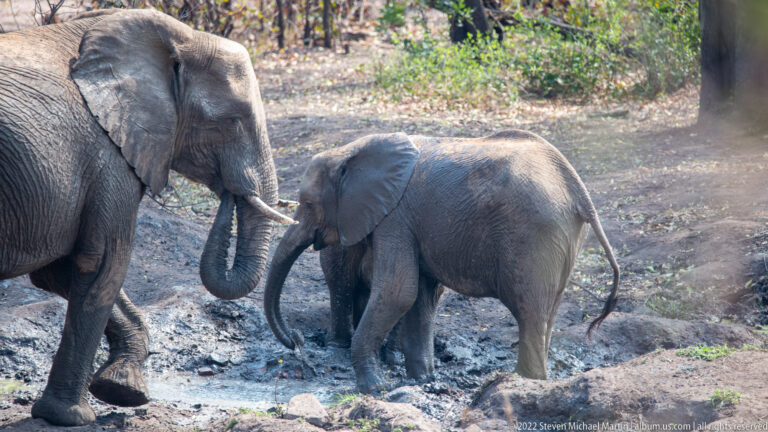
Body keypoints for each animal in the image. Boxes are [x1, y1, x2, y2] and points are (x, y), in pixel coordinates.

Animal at [0, 9, 295, 426]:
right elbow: (101, 264)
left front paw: (122, 390)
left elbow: (59, 271)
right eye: (232, 121)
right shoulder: (109, 154)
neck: (181, 37)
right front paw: (70, 417)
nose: (228, 192)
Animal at [263, 131, 620, 393]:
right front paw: (421, 380)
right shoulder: (409, 222)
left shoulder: (395, 217)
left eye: (308, 205)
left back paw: (521, 382)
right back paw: (532, 381)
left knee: (529, 310)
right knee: (546, 312)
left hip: (535, 235)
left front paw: (374, 389)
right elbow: (418, 296)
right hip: (561, 239)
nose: (296, 340)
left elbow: (397, 291)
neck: (352, 151)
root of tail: (578, 190)